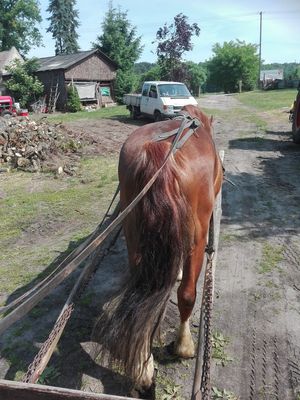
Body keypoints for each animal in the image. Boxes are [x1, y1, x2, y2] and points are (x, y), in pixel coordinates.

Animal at [93, 104, 223, 396]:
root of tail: (160, 151)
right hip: (197, 237)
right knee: (187, 294)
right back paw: (184, 346)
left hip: (134, 235)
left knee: (140, 295)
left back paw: (144, 370)